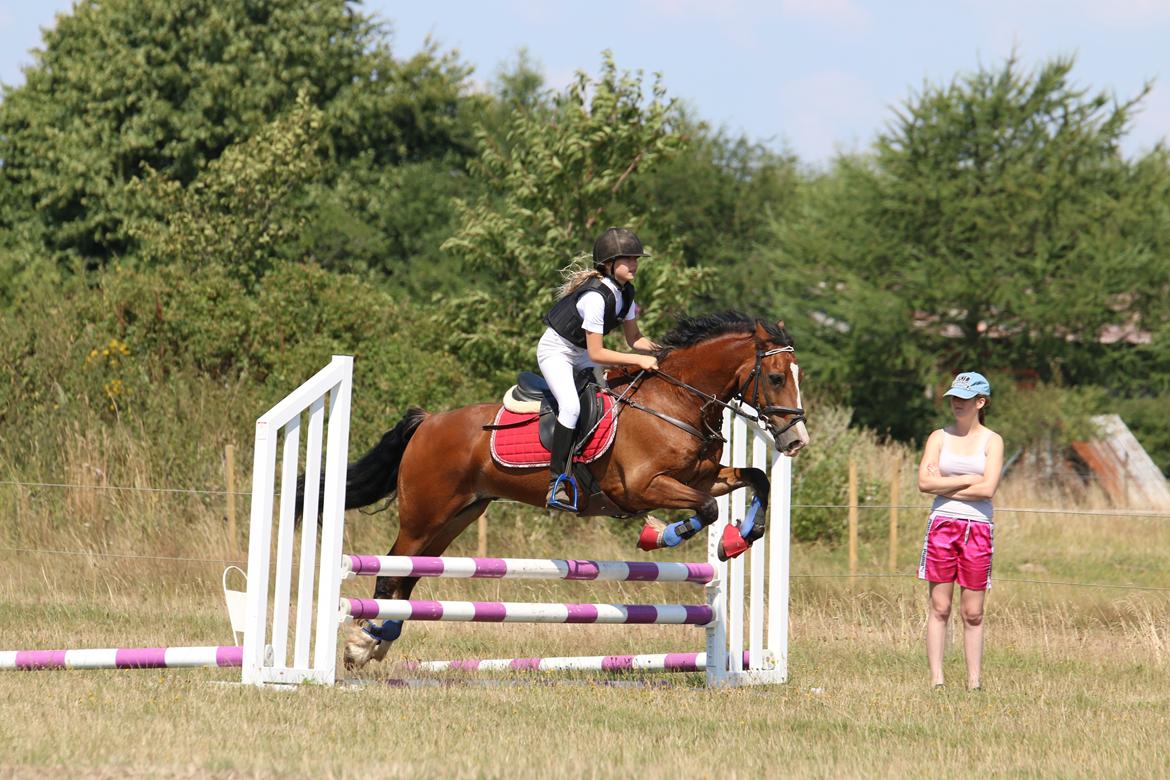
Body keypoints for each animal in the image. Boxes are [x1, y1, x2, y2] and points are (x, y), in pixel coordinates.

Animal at [329, 313, 804, 673]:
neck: (675, 402)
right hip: (424, 515)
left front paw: (739, 538)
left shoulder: (704, 477)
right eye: (776, 377)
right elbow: (705, 510)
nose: (796, 440)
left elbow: (756, 478)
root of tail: (427, 422)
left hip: (456, 516)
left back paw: (382, 638)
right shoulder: (642, 486)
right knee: (391, 569)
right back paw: (361, 645)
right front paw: (663, 535)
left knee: (410, 573)